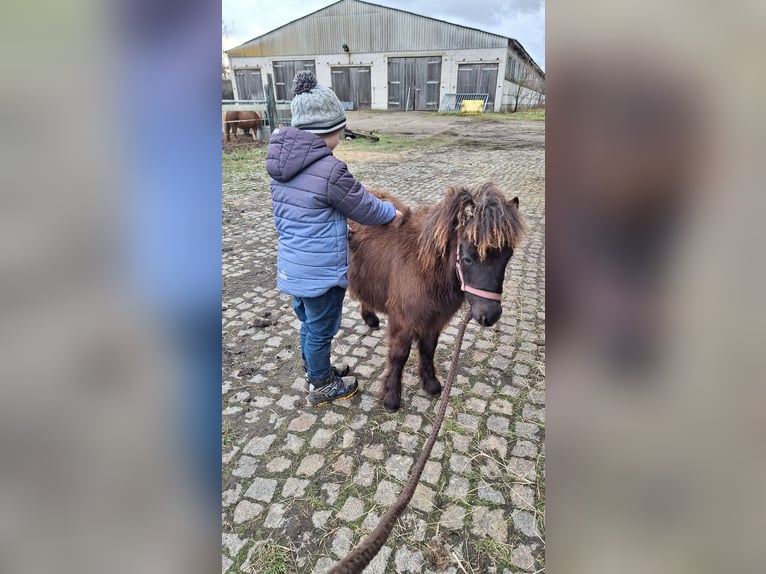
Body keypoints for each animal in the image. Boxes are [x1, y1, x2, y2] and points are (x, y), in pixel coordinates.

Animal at [350, 182, 524, 412]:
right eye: (467, 258)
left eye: (507, 257)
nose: (490, 315)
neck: (424, 267)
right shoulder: (403, 321)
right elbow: (399, 356)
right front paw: (391, 398)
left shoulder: (434, 319)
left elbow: (428, 350)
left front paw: (431, 384)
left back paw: (370, 319)